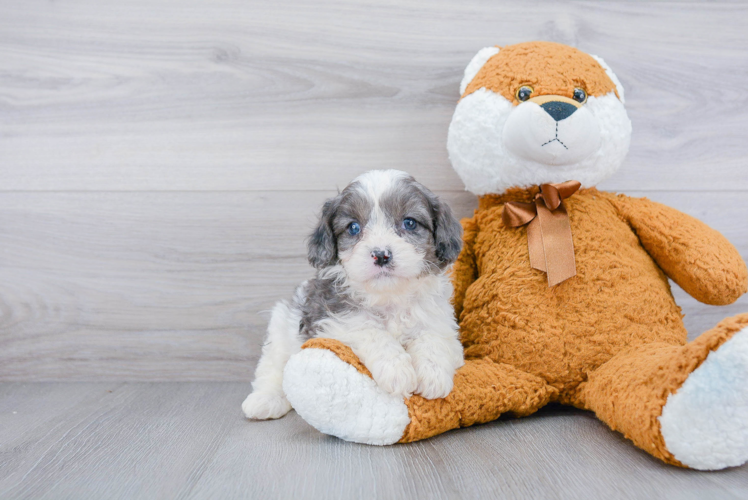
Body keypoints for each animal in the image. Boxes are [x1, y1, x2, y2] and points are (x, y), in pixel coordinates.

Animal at [243, 170, 464, 420]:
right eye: (353, 228)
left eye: (409, 223)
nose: (381, 255)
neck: (389, 295)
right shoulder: (334, 318)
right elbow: (370, 330)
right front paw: (396, 370)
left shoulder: (439, 320)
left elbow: (433, 337)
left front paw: (433, 373)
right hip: (281, 324)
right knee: (272, 367)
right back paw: (265, 400)